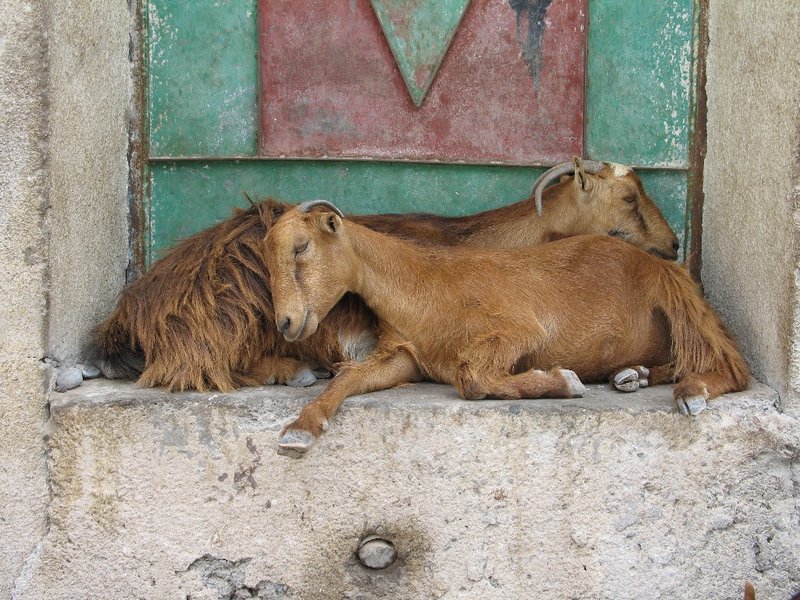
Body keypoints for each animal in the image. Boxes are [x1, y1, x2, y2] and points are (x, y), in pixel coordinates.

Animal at [94, 159, 680, 392]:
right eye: (629, 198)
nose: (674, 245)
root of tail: (130, 309)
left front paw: (632, 373)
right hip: (237, 310)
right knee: (206, 364)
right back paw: (293, 370)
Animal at [266, 199, 748, 458]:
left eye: (302, 247)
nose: (285, 323)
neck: (424, 286)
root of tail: (651, 261)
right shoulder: (407, 358)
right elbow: (348, 379)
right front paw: (301, 428)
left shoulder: (520, 330)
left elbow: (473, 379)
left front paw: (564, 381)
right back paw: (635, 375)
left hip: (676, 292)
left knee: (732, 363)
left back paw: (692, 392)